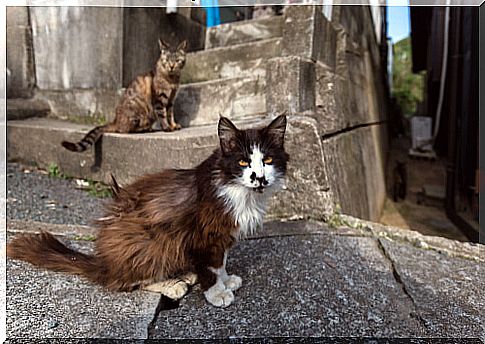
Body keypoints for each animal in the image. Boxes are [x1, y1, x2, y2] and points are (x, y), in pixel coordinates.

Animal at [8, 114, 288, 308]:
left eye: (268, 160)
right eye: (243, 161)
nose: (259, 178)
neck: (239, 190)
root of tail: (103, 263)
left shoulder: (222, 235)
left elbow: (220, 262)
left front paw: (226, 279)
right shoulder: (201, 235)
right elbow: (210, 267)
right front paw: (216, 292)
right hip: (147, 239)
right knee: (125, 281)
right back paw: (173, 284)